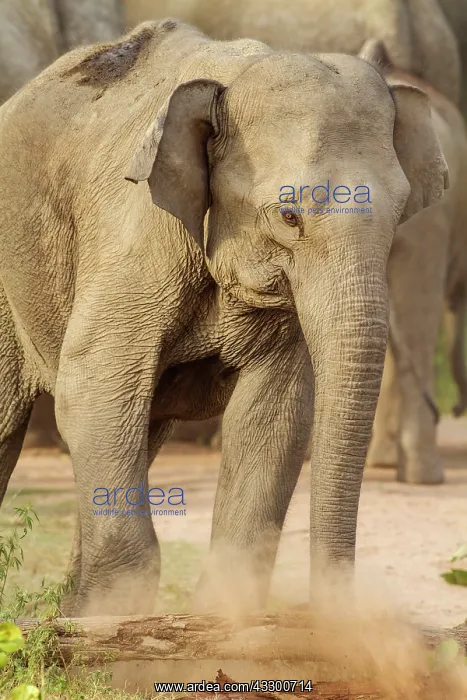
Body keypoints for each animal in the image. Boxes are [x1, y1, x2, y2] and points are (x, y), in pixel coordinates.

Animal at [0, 19, 448, 615]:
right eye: (289, 216)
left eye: (400, 213)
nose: (331, 615)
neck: (235, 77)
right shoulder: (136, 233)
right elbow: (93, 382)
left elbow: (274, 413)